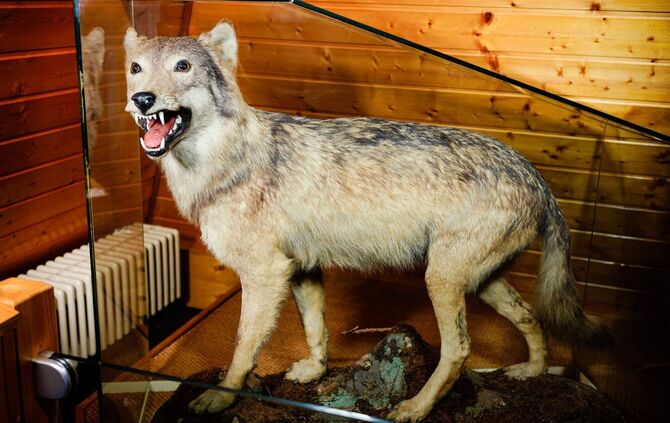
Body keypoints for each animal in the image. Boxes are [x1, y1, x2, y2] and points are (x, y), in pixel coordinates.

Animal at [123, 21, 611, 422]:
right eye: (135, 68)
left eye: (183, 66)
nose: (141, 99)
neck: (225, 163)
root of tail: (535, 175)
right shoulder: (301, 269)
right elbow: (315, 328)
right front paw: (313, 372)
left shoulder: (265, 274)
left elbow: (243, 345)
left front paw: (221, 397)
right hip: (480, 281)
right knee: (530, 317)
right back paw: (532, 371)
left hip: (442, 280)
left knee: (460, 351)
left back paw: (415, 408)